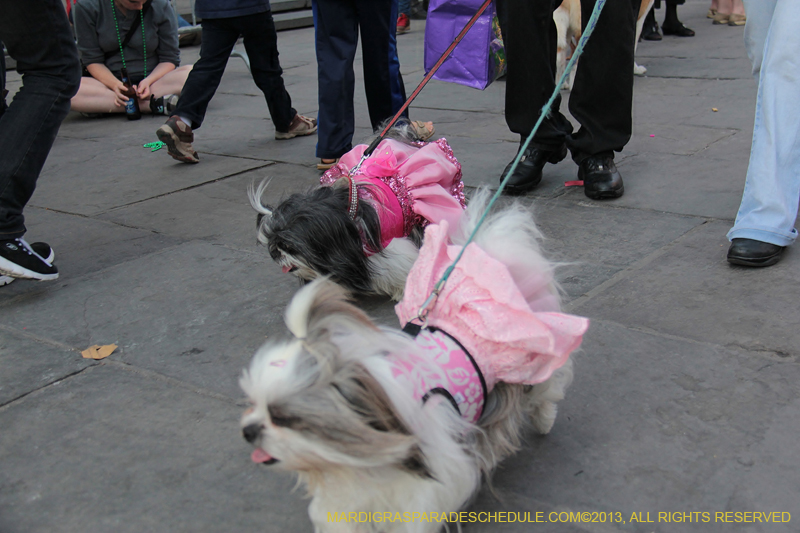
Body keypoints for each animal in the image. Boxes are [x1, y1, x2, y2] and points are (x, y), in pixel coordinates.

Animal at [238, 192, 588, 532]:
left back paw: (544, 420)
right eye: (253, 405)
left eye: (283, 417)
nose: (248, 431)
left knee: (545, 391)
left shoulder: (430, 478)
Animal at [247, 123, 466, 302]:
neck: (346, 222)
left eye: (288, 245)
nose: (277, 254)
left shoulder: (389, 243)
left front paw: (401, 290)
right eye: (272, 246)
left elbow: (399, 263)